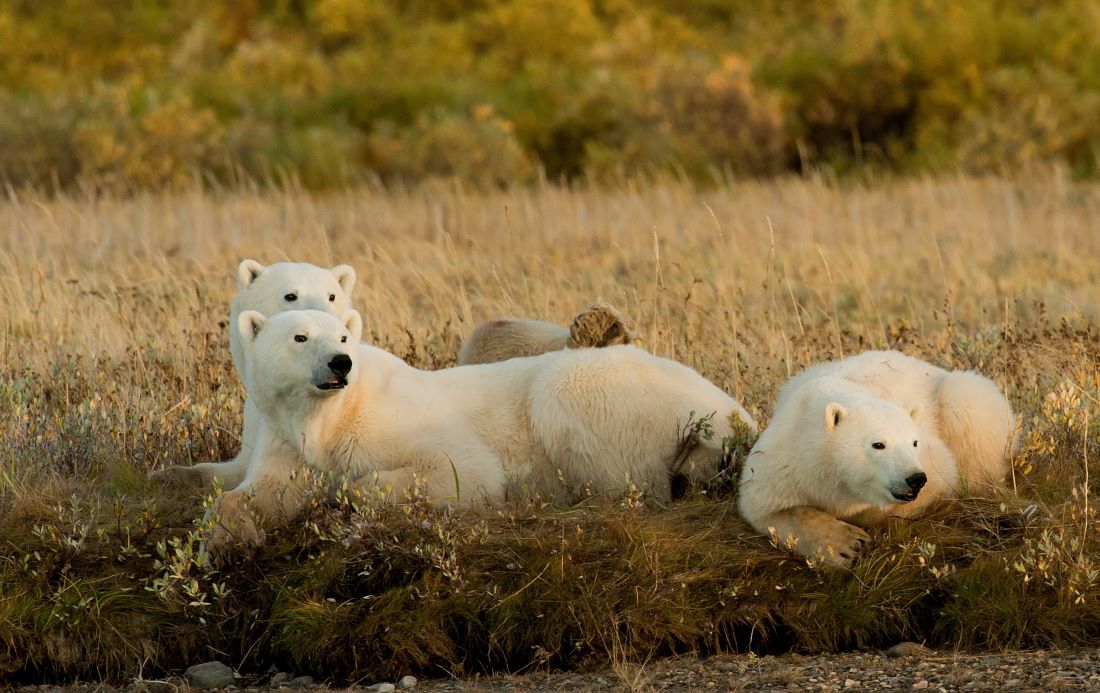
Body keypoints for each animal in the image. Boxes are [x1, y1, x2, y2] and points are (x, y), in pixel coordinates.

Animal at [204, 310, 756, 554]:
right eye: (300, 337)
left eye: (342, 335)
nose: (341, 362)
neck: (329, 416)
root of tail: (735, 412)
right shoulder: (285, 439)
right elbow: (262, 490)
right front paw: (226, 538)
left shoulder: (399, 420)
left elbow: (464, 470)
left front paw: (343, 496)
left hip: (607, 391)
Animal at [734, 349, 1016, 567]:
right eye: (878, 444)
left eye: (914, 442)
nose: (915, 478)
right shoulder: (786, 458)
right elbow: (770, 510)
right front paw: (846, 544)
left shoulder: (932, 459)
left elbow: (941, 478)